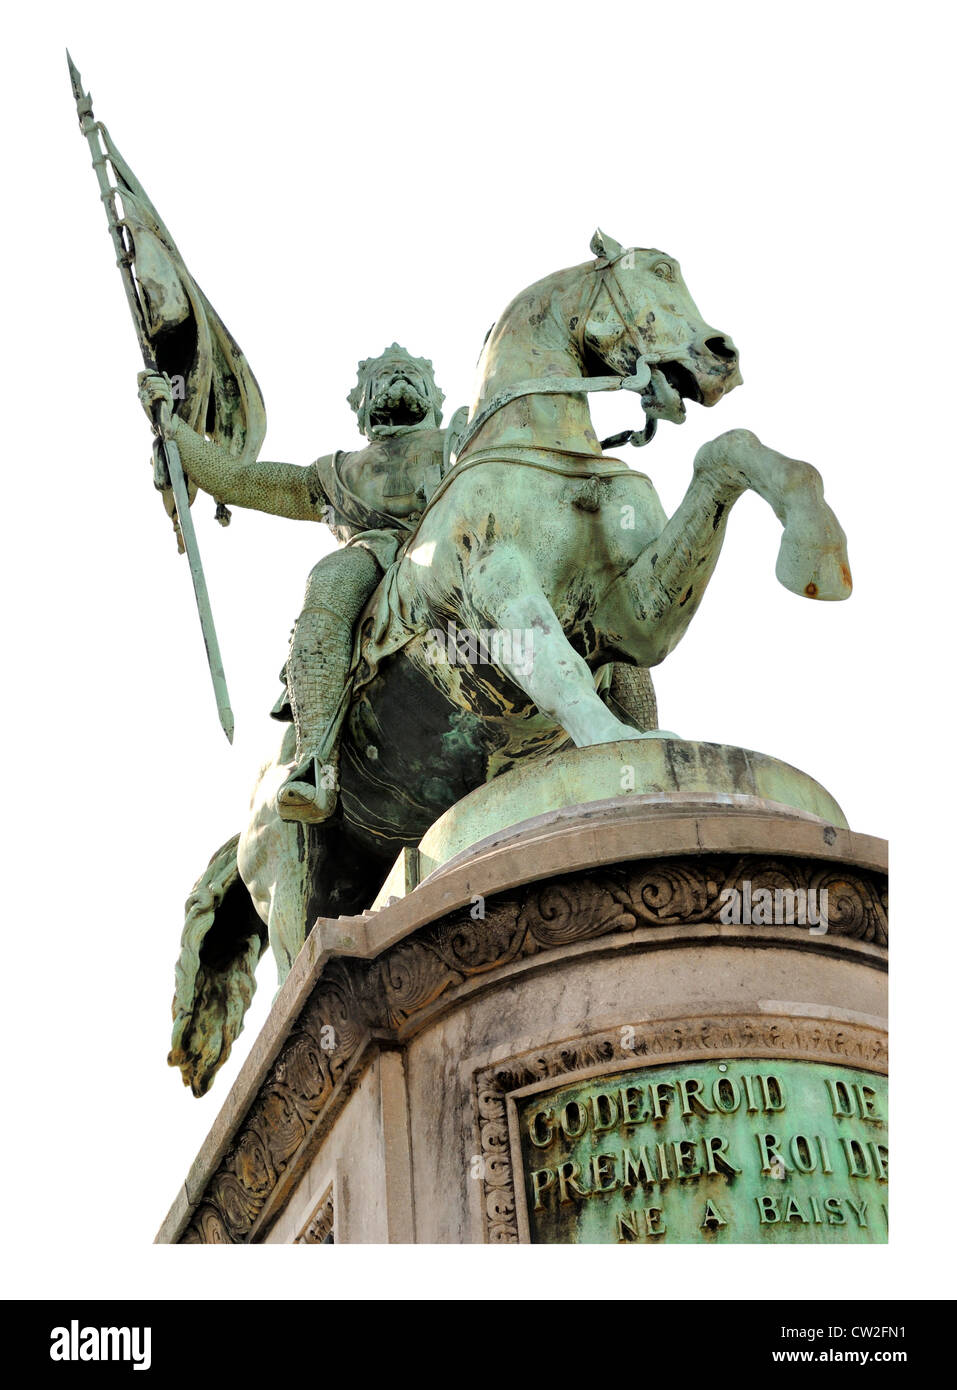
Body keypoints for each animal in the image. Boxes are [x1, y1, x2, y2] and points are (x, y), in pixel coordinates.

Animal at [168, 227, 851, 1095]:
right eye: (652, 275)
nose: (719, 354)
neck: (546, 450)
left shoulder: (628, 619)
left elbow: (728, 453)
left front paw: (815, 548)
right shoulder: (498, 591)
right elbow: (560, 674)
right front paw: (618, 751)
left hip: (360, 862)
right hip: (287, 868)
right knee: (296, 957)